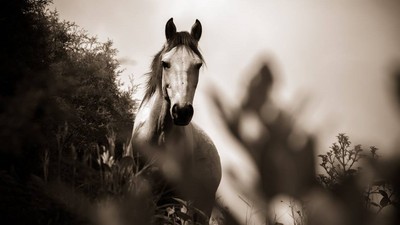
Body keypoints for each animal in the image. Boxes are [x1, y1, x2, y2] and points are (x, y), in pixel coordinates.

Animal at [127, 18, 222, 223]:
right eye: (165, 63)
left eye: (198, 65)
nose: (182, 111)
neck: (159, 134)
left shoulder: (170, 194)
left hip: (199, 207)